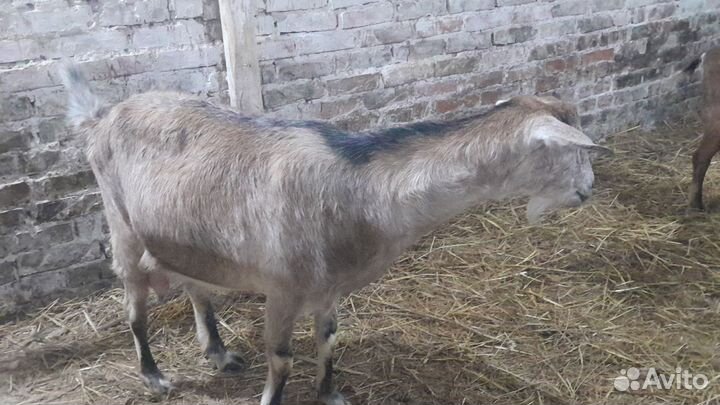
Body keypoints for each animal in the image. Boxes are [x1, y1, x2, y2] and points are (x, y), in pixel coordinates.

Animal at [61, 65, 608, 405]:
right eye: (573, 150)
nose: (587, 191)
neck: (360, 187)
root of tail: (101, 118)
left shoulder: (329, 287)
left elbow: (328, 339)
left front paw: (330, 392)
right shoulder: (283, 287)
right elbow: (282, 359)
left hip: (184, 235)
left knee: (195, 285)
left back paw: (218, 352)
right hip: (122, 224)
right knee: (133, 305)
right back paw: (154, 376)